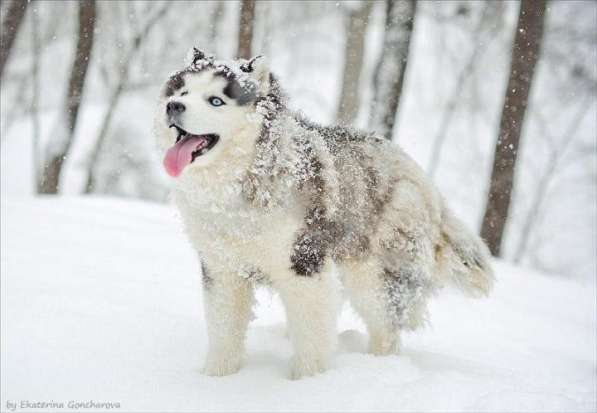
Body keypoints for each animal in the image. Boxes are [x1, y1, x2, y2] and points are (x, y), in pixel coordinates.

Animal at [154, 48, 494, 380]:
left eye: (216, 100)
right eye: (183, 91)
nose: (174, 106)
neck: (237, 187)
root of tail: (426, 183)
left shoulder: (304, 264)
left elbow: (312, 334)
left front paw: (310, 382)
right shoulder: (222, 269)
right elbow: (224, 331)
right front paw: (216, 379)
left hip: (371, 277)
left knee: (386, 331)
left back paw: (381, 369)